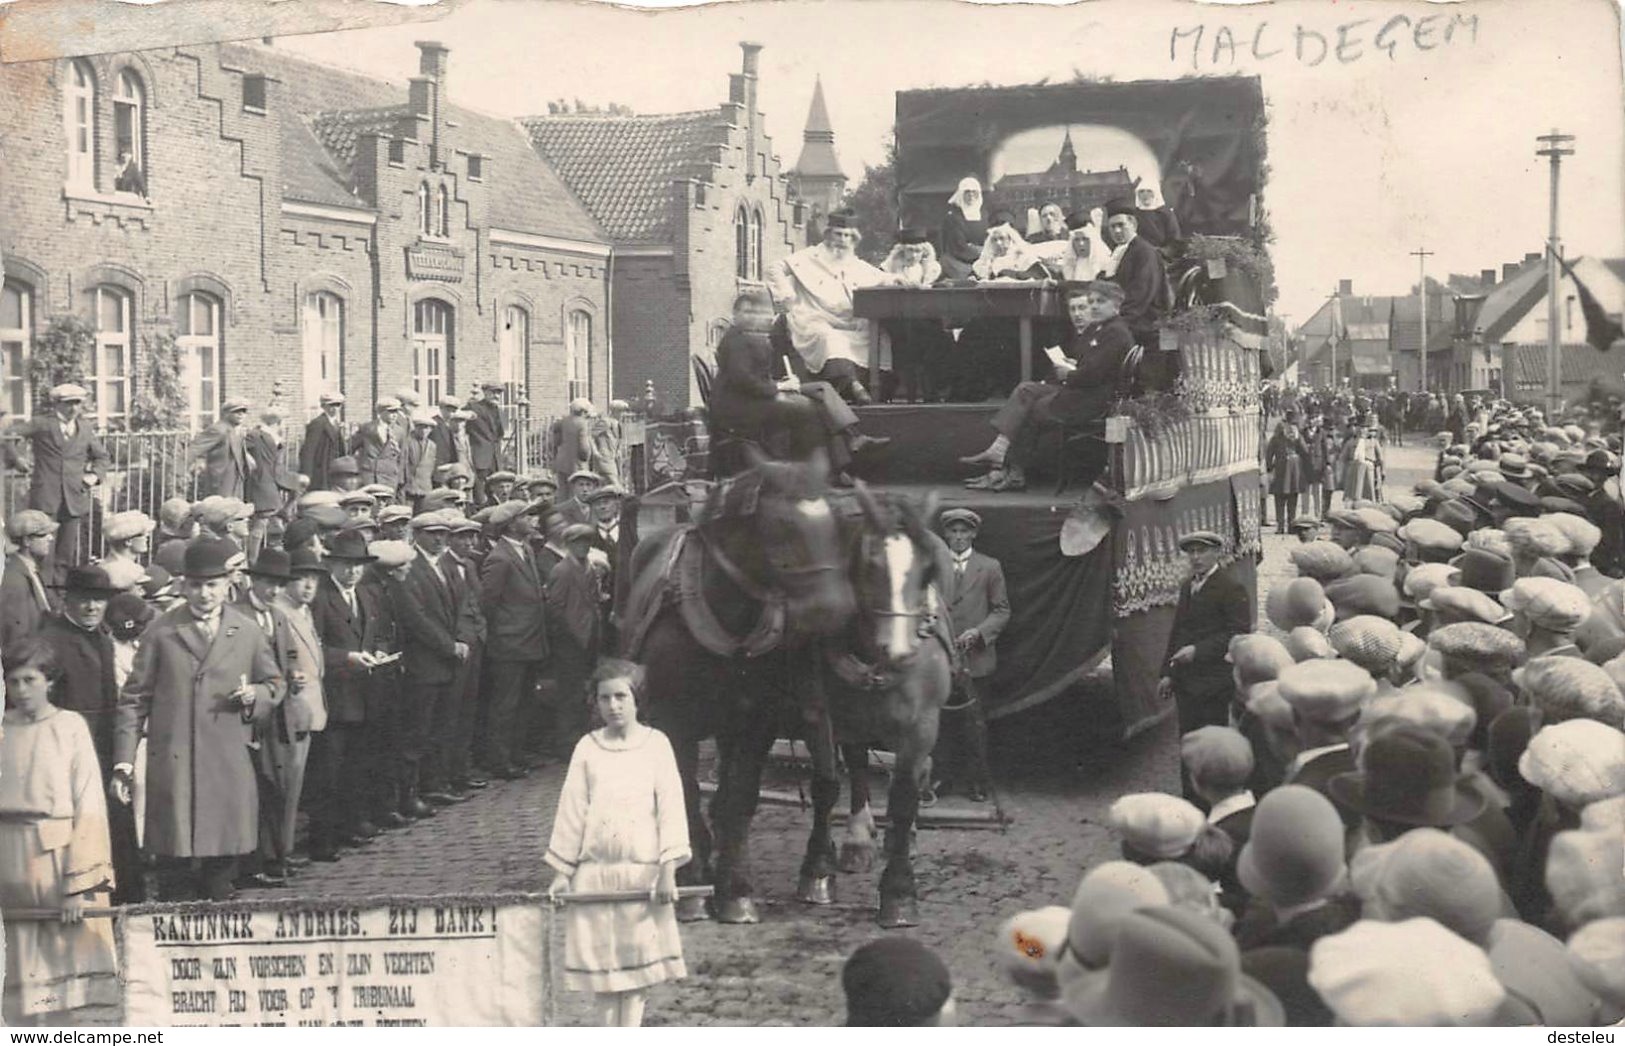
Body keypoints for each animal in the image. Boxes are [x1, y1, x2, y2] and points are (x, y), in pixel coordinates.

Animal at [620, 448, 858, 922]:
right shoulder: (676, 720)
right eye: (782, 529)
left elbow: (743, 795)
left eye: (837, 527)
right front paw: (693, 883)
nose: (837, 611)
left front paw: (736, 890)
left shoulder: (756, 721)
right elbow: (685, 790)